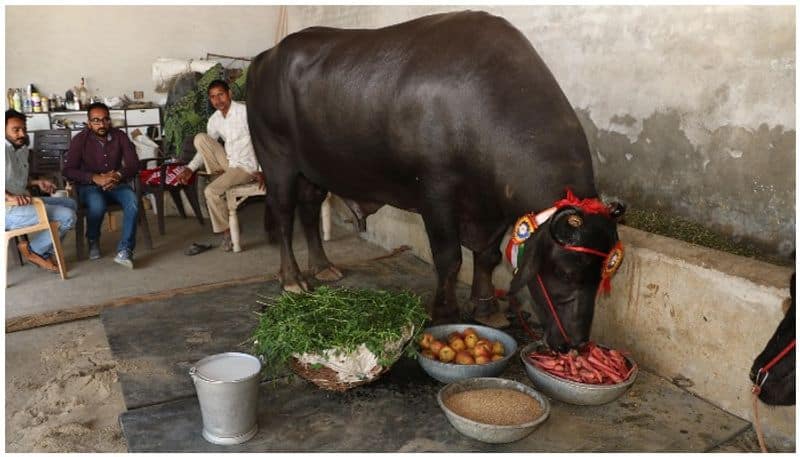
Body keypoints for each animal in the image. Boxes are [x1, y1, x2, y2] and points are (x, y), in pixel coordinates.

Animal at [247, 10, 620, 348]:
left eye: (602, 272)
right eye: (565, 272)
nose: (576, 343)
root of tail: (265, 58)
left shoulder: (495, 207)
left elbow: (487, 256)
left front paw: (487, 308)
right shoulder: (436, 194)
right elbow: (449, 258)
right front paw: (444, 311)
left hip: (314, 170)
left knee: (309, 209)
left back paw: (323, 266)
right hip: (276, 160)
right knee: (284, 215)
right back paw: (293, 279)